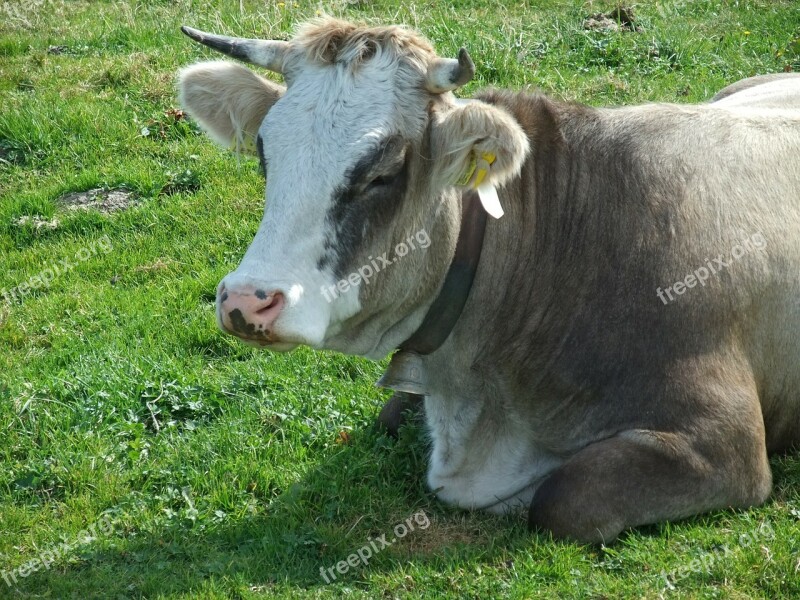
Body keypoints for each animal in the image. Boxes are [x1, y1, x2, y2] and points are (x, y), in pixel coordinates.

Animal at [178, 18, 800, 544]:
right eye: (265, 153)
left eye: (383, 172)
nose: (246, 300)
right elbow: (388, 415)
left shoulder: (726, 441)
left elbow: (561, 500)